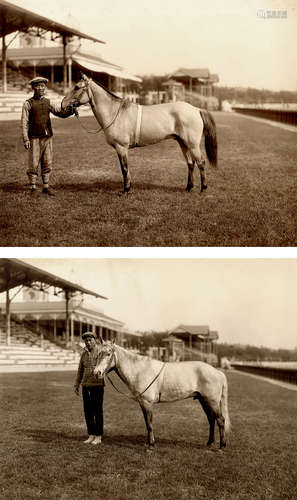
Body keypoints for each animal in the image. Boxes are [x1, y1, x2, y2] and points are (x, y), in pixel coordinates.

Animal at [61, 75, 216, 194]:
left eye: (77, 87)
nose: (62, 104)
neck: (114, 112)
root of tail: (196, 109)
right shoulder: (121, 149)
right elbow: (125, 168)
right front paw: (128, 187)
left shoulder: (121, 147)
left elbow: (124, 168)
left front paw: (126, 190)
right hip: (182, 143)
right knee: (190, 163)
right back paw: (188, 187)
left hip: (192, 144)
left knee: (201, 162)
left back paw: (203, 188)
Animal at [93, 342, 230, 452]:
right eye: (98, 354)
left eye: (108, 354)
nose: (96, 372)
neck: (140, 370)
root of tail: (218, 372)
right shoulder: (142, 403)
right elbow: (146, 423)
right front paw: (148, 443)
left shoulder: (147, 403)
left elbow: (149, 424)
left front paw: (151, 446)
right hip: (203, 400)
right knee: (211, 420)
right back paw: (209, 443)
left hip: (212, 401)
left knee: (220, 420)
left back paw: (222, 446)